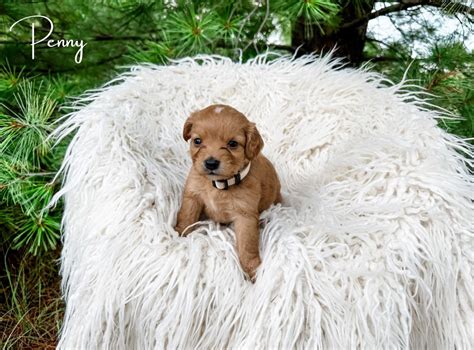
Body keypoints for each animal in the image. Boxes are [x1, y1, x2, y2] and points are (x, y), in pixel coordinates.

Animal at [177, 104, 282, 282]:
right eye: (197, 141)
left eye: (233, 144)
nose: (211, 163)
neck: (218, 185)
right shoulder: (193, 196)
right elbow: (186, 217)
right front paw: (177, 236)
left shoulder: (245, 215)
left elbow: (247, 245)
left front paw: (252, 270)